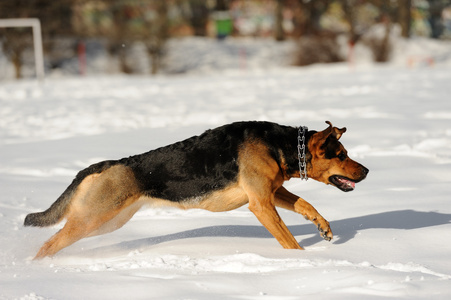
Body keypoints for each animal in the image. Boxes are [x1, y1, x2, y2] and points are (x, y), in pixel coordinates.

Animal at [24, 120, 368, 258]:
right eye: (341, 155)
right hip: (92, 219)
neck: (282, 145)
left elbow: (307, 205)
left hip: (107, 222)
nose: (366, 171)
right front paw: (305, 262)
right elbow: (289, 240)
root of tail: (106, 164)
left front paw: (323, 228)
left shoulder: (271, 192)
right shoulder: (260, 202)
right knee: (49, 244)